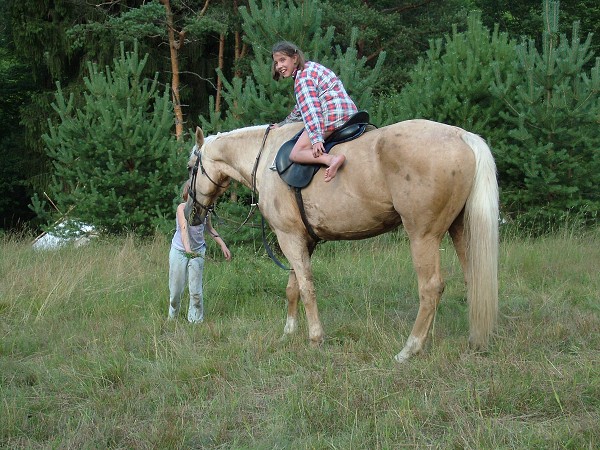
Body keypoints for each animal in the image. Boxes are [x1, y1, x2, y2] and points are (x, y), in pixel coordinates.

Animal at [186, 118, 496, 362]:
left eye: (191, 167)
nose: (191, 212)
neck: (265, 159)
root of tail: (460, 135)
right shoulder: (303, 241)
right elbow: (293, 288)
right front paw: (288, 333)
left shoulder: (289, 238)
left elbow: (306, 288)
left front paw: (315, 338)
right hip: (461, 230)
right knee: (474, 279)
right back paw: (475, 339)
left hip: (423, 236)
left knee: (431, 288)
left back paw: (410, 349)